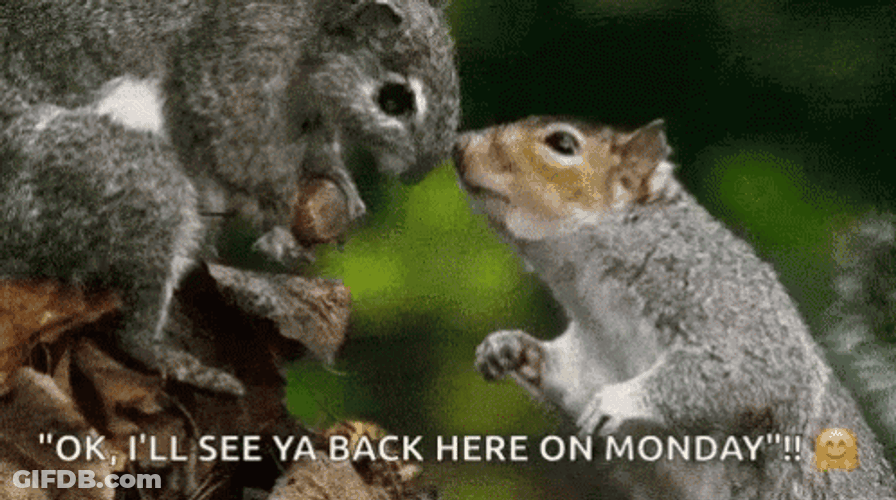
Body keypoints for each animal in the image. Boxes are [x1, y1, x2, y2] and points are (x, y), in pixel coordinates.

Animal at [0, 0, 459, 396]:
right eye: (394, 99)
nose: (420, 172)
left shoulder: (307, 113)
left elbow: (318, 150)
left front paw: (340, 182)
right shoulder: (239, 58)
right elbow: (242, 146)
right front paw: (277, 219)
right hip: (129, 185)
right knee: (132, 332)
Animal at [453, 116, 896, 499]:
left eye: (562, 143)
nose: (459, 145)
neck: (595, 298)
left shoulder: (730, 306)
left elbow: (744, 374)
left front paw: (619, 400)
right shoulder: (590, 361)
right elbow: (565, 375)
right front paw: (508, 347)